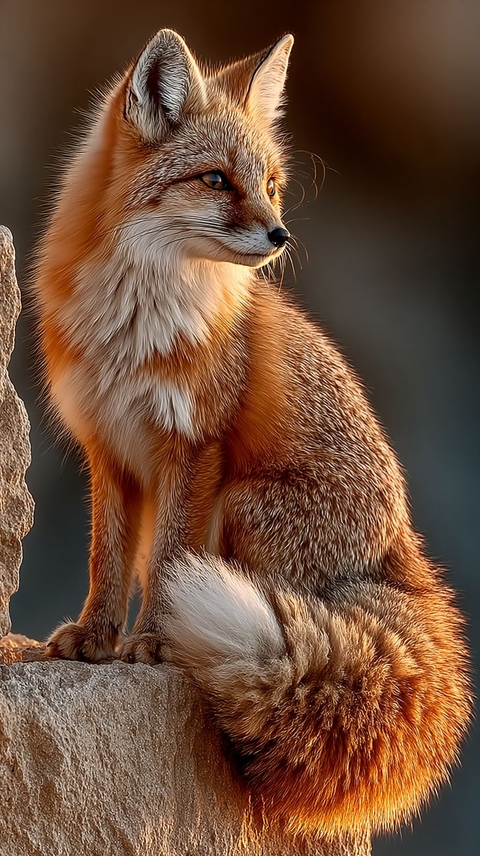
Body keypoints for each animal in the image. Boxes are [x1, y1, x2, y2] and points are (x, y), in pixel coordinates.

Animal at [33, 28, 471, 837]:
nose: (280, 234)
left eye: (269, 182)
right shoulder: (108, 449)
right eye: (216, 180)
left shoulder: (195, 446)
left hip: (242, 506)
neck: (136, 324)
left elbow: (168, 562)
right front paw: (94, 637)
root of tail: (408, 555)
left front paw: (151, 642)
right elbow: (107, 558)